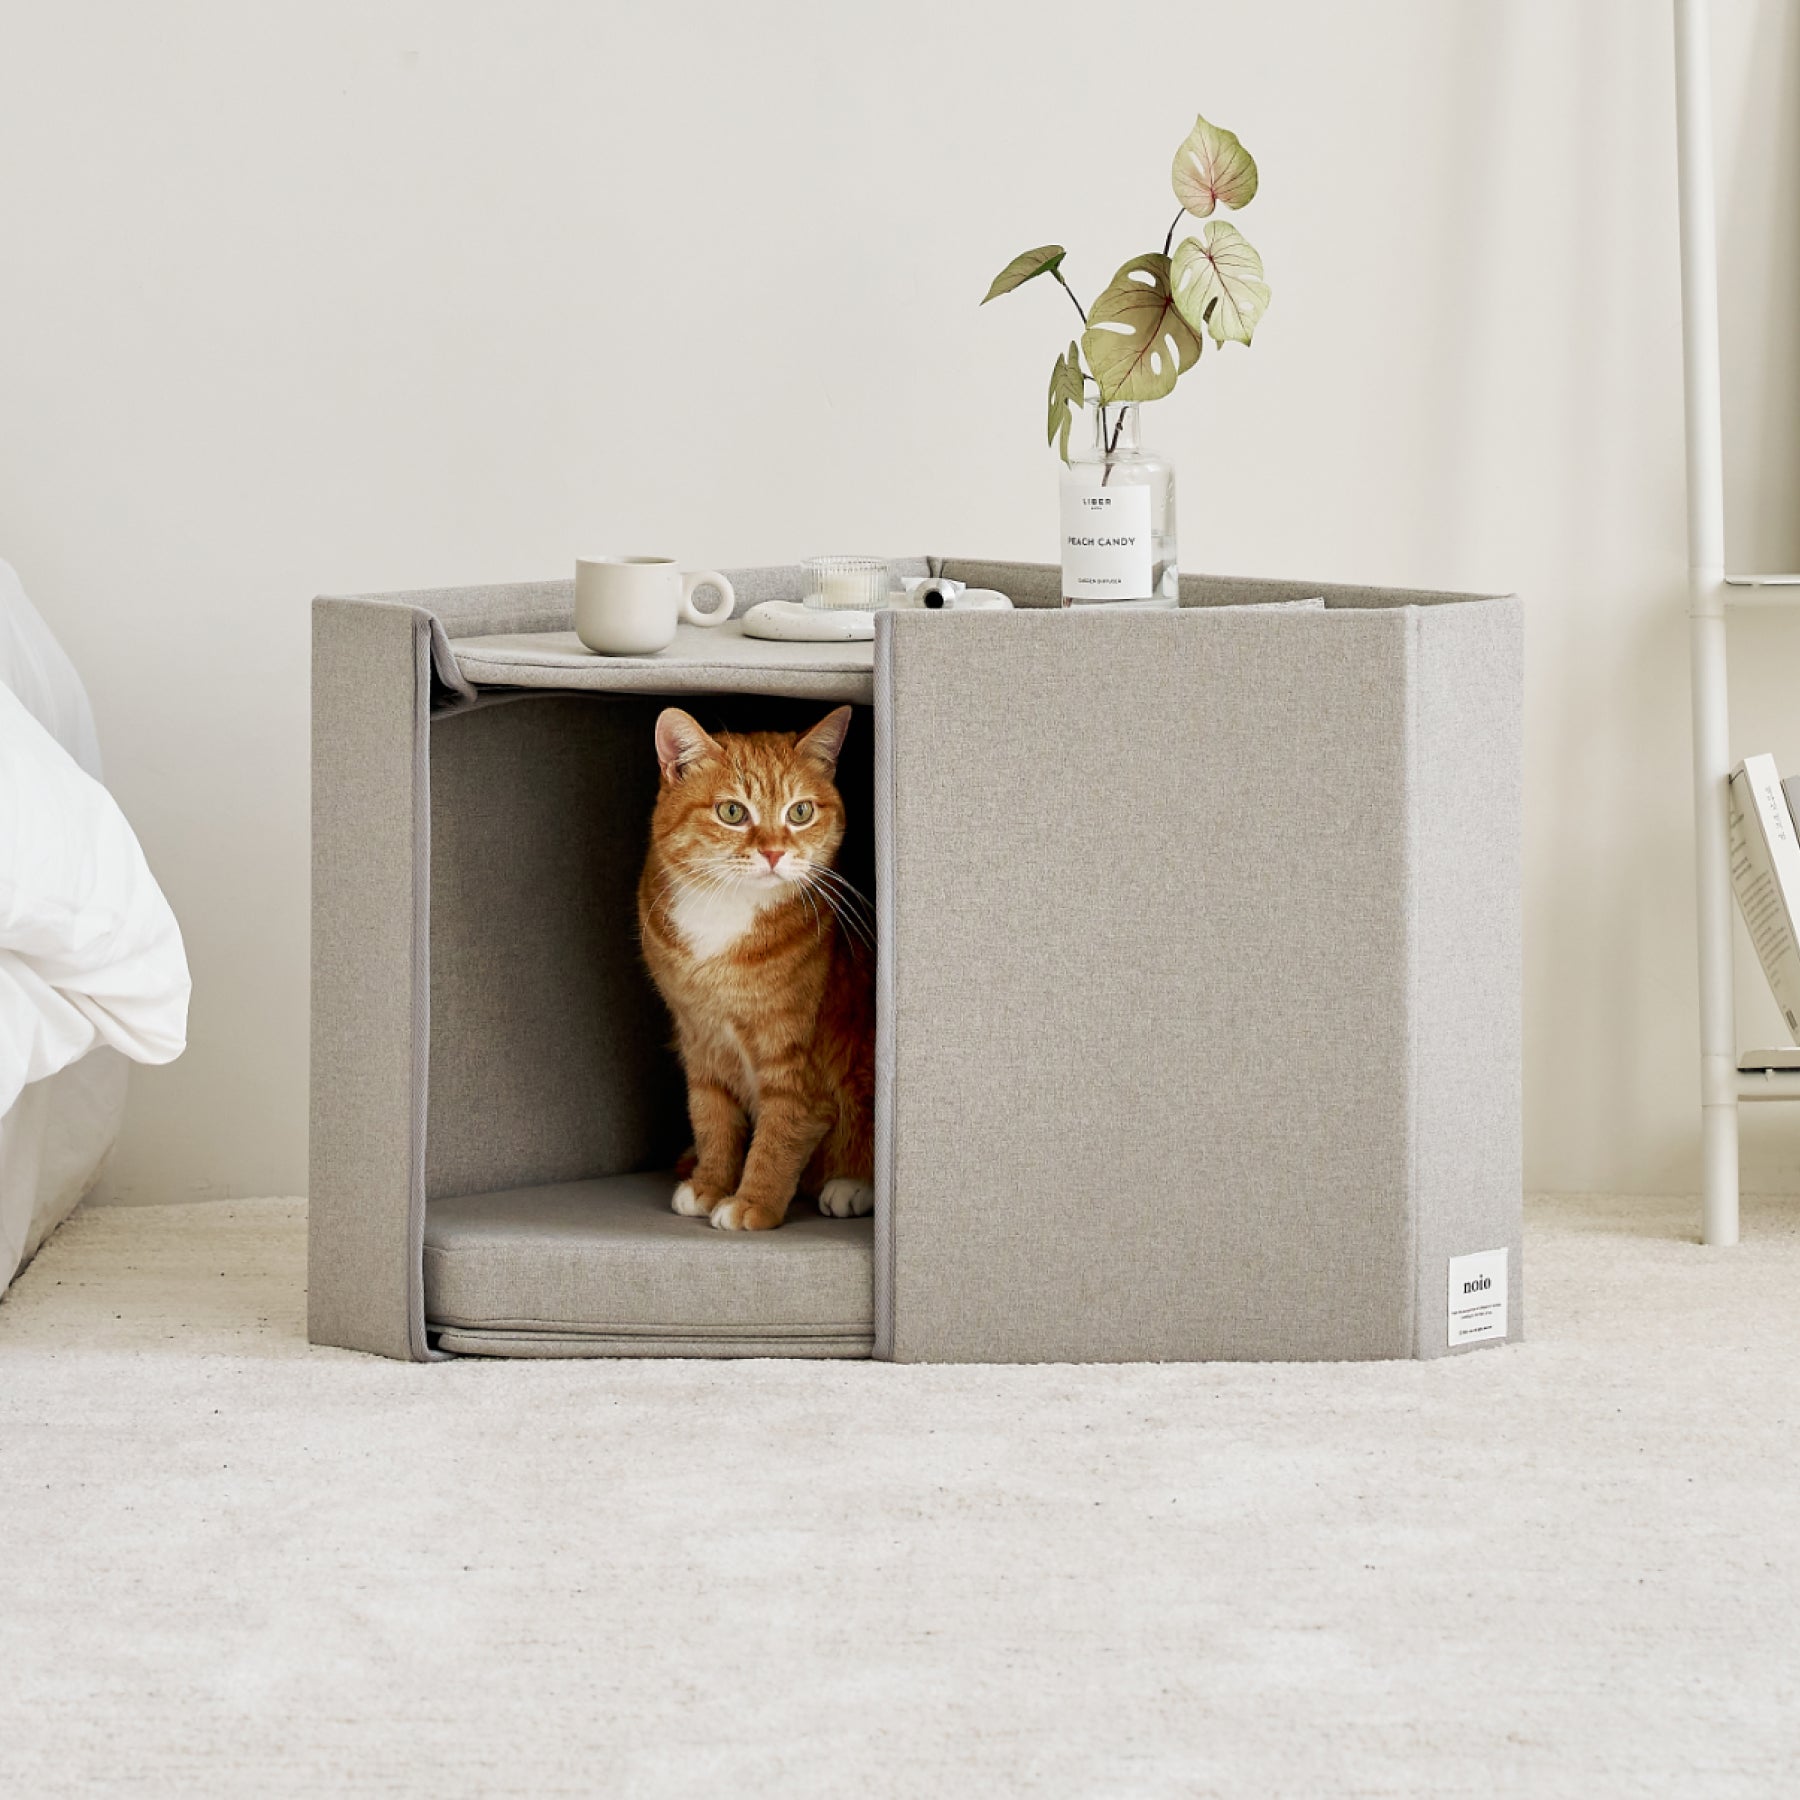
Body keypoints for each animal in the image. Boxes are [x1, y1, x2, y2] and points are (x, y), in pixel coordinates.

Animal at [637, 698, 874, 1224]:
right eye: (732, 812)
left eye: (800, 811)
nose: (773, 852)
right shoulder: (700, 1039)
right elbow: (712, 1120)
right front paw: (709, 1184)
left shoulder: (796, 1065)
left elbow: (778, 1137)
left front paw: (753, 1203)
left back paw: (853, 1186)